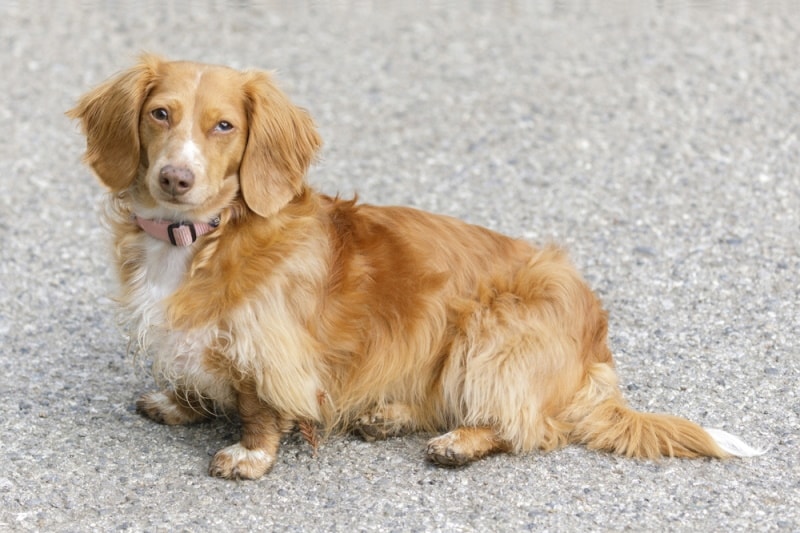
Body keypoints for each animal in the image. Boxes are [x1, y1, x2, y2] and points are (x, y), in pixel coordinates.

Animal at [69, 54, 764, 478]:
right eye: (160, 113)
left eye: (223, 126)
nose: (176, 178)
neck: (200, 238)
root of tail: (597, 345)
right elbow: (198, 379)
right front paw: (181, 403)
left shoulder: (269, 344)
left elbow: (259, 405)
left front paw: (248, 454)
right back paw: (389, 414)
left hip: (493, 333)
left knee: (529, 426)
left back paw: (459, 441)